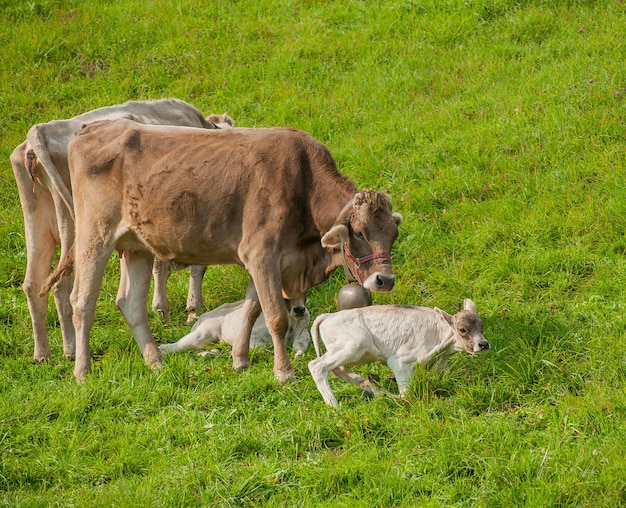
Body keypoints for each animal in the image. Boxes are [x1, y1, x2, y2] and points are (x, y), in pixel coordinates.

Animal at [8, 98, 233, 362]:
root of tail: (40, 130)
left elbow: (161, 267)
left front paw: (163, 309)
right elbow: (191, 267)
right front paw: (188, 308)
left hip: (38, 223)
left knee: (33, 284)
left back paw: (43, 354)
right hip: (74, 224)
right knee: (62, 285)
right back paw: (71, 349)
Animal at [158, 300, 310, 356]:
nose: (300, 309)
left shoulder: (303, 333)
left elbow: (300, 344)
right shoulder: (254, 334)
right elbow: (261, 347)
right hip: (204, 332)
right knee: (181, 344)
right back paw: (162, 349)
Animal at [308, 300, 488, 406]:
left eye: (481, 325)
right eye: (462, 329)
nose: (484, 344)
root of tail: (328, 316)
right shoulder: (400, 361)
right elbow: (405, 396)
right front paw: (380, 393)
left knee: (337, 370)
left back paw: (367, 384)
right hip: (354, 345)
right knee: (316, 366)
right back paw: (334, 405)